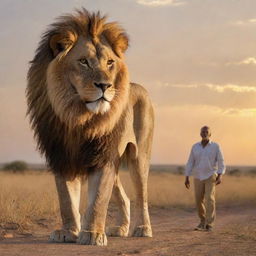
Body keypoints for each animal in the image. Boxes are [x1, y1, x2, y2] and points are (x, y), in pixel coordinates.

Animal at [26, 8, 154, 246]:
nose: (105, 85)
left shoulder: (103, 156)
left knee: (141, 194)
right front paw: (69, 232)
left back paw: (142, 229)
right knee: (124, 197)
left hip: (139, 157)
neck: (78, 117)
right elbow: (66, 200)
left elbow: (98, 200)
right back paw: (120, 228)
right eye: (83, 61)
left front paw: (93, 234)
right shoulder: (61, 155)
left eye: (110, 63)